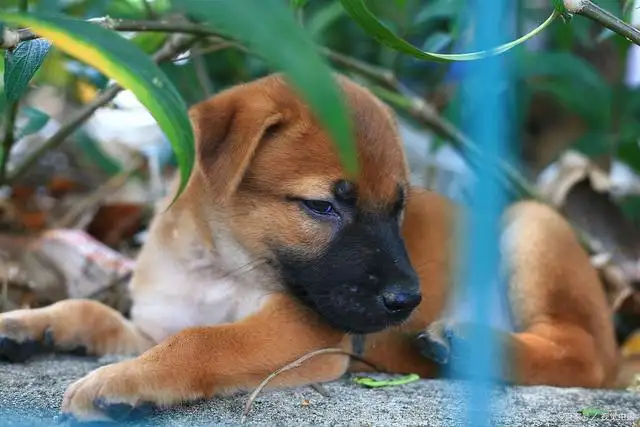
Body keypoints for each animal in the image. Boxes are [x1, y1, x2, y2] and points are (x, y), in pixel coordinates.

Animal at [0, 72, 620, 422]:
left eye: (398, 207)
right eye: (323, 207)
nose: (407, 301)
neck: (217, 267)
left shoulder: (301, 332)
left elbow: (202, 341)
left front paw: (123, 382)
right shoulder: (153, 325)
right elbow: (93, 309)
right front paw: (30, 324)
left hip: (533, 222)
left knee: (583, 354)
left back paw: (471, 343)